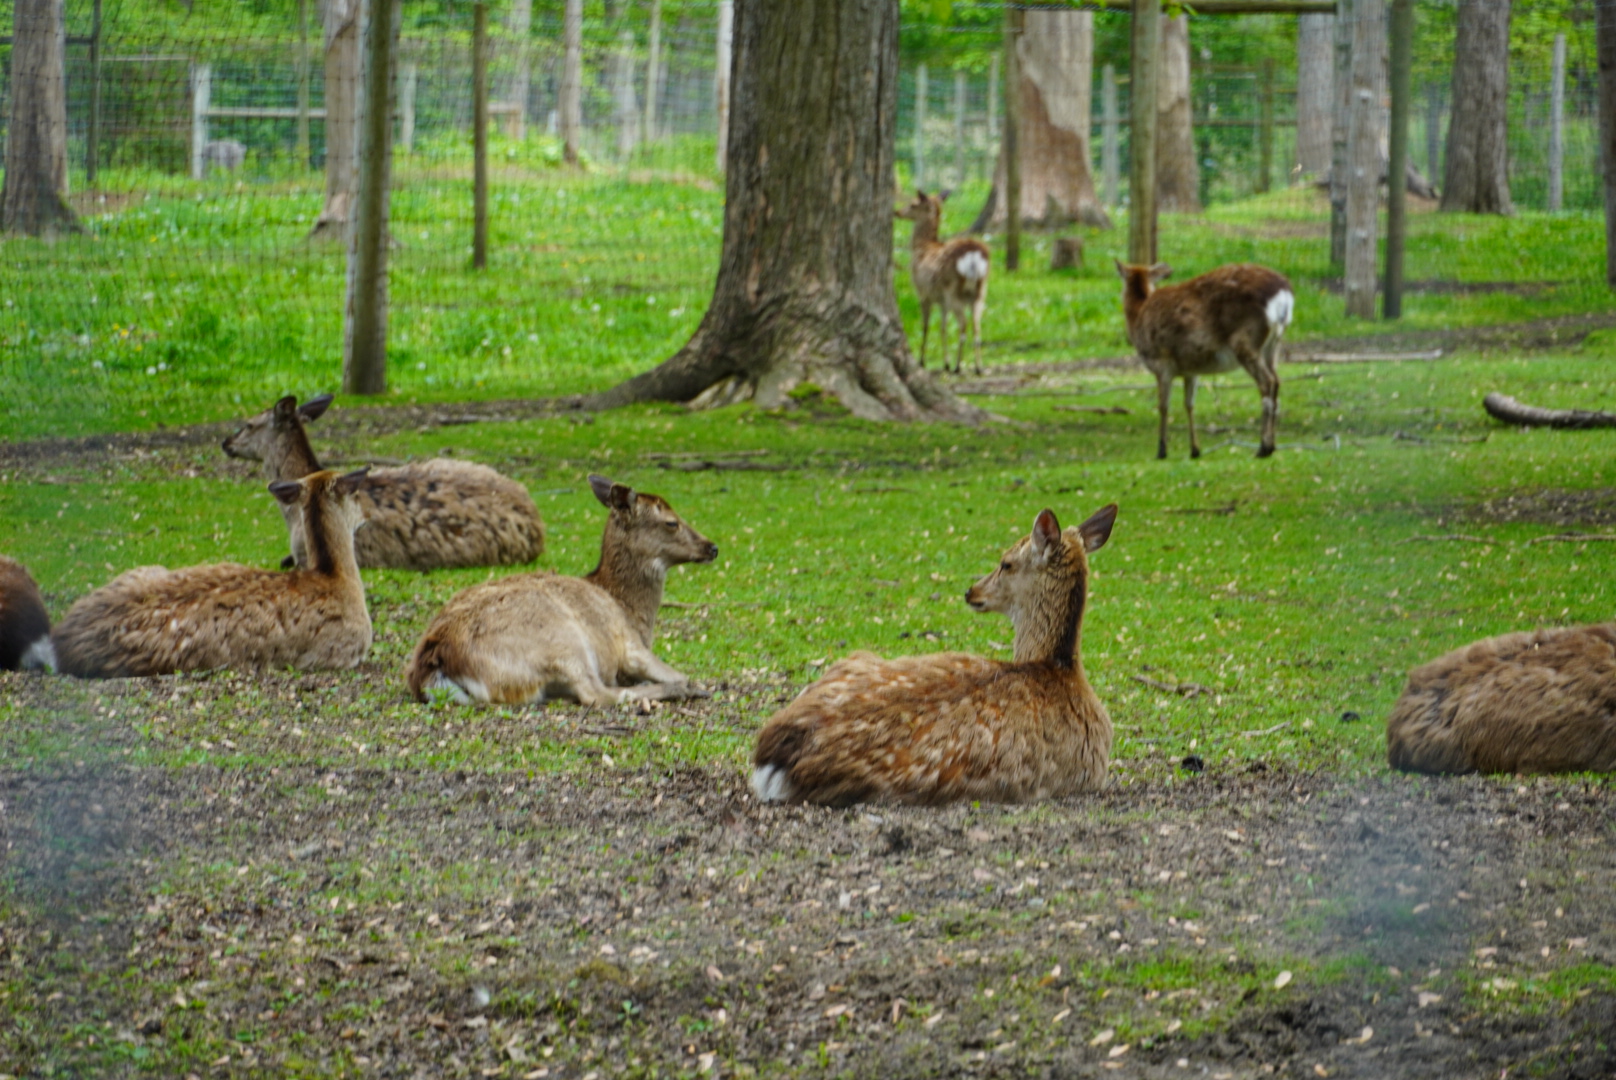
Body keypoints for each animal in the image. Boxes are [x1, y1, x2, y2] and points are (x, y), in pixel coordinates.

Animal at [405, 475, 718, 707]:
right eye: (671, 522)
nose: (712, 547)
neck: (630, 610)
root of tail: (433, 666)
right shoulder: (629, 644)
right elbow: (679, 673)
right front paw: (692, 684)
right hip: (562, 641)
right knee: (596, 693)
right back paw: (681, 691)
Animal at [896, 189, 990, 375]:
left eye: (913, 204)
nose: (898, 212)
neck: (922, 249)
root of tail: (974, 256)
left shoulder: (923, 293)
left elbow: (926, 327)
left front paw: (922, 361)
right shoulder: (941, 301)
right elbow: (943, 327)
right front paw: (945, 363)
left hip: (953, 291)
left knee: (963, 325)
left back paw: (958, 366)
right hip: (980, 291)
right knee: (977, 326)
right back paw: (977, 366)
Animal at [1115, 261, 1293, 460]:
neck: (1138, 316)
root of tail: (1284, 294)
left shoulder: (1162, 363)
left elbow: (1163, 406)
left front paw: (1161, 450)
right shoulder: (1190, 370)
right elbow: (1189, 405)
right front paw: (1195, 450)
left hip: (1246, 340)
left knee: (1266, 382)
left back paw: (1263, 447)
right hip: (1273, 344)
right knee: (1276, 381)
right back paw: (1272, 446)